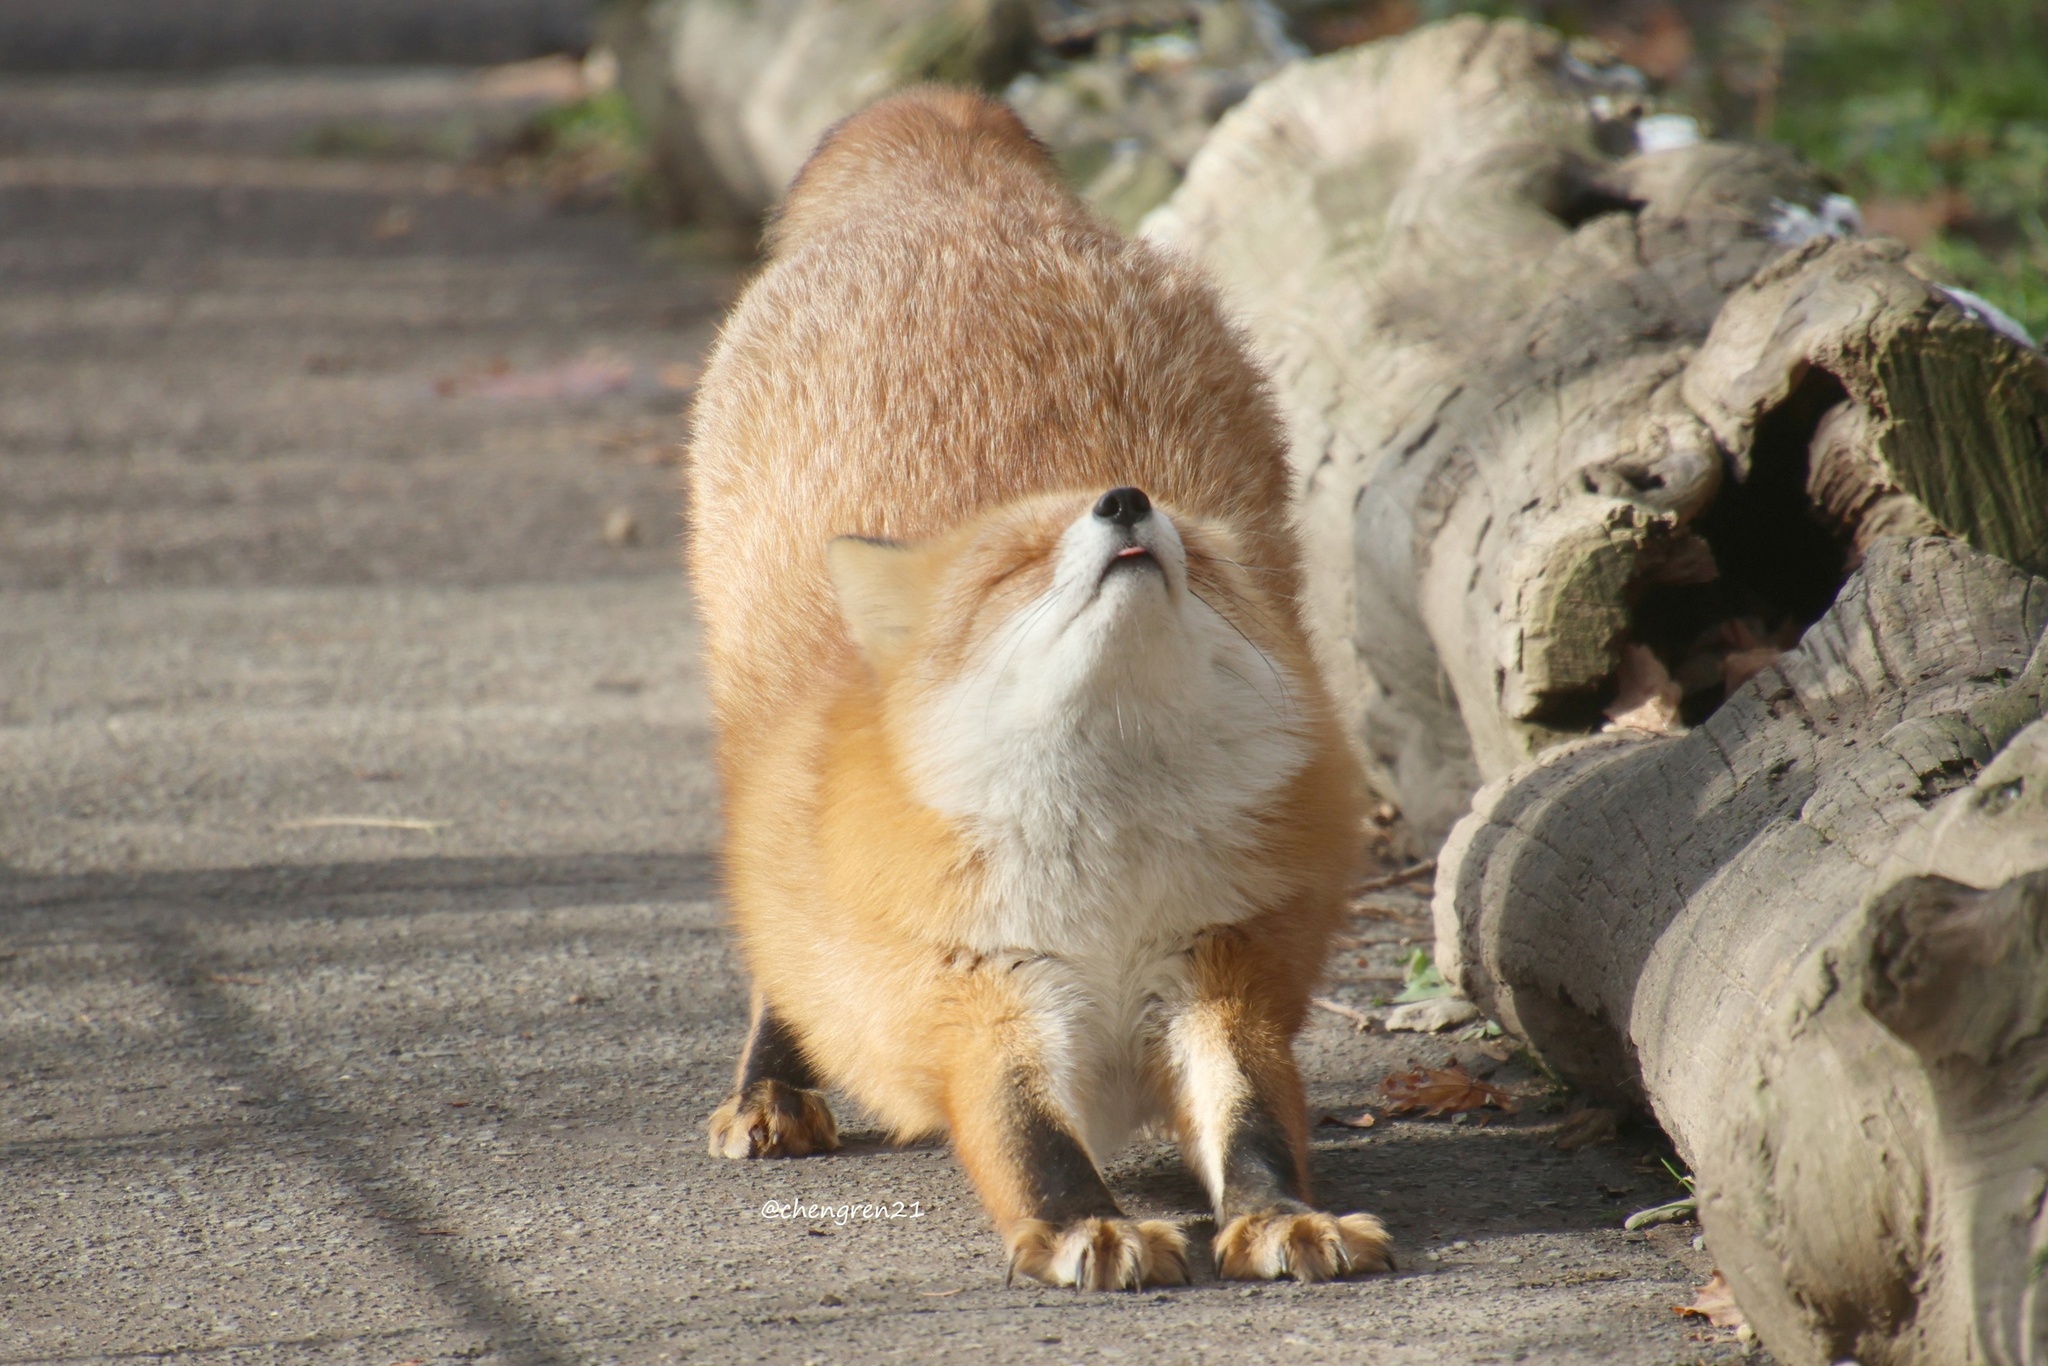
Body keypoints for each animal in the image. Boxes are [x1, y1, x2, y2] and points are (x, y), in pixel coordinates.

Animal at [688, 88, 1392, 1294]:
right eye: (1014, 563)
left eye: (1200, 561)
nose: (1125, 499)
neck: (1104, 880)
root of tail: (953, 169)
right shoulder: (980, 994)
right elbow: (1029, 1137)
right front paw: (1084, 1229)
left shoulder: (1217, 969)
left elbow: (1252, 1120)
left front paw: (1279, 1216)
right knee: (777, 937)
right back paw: (771, 1085)